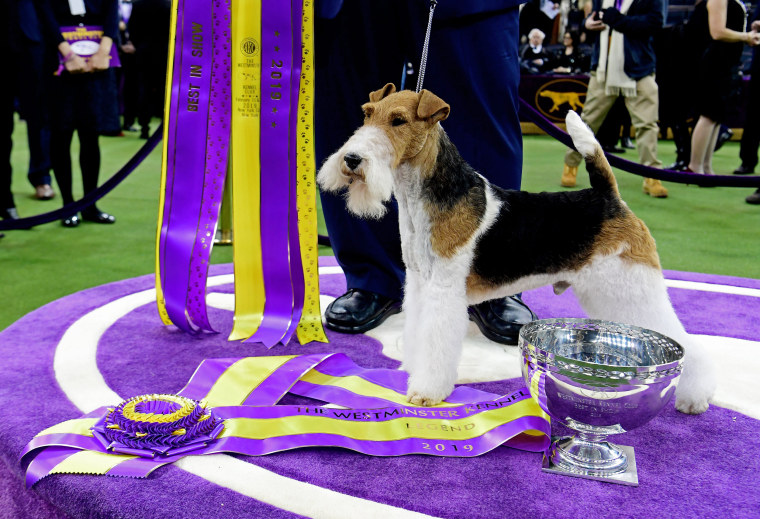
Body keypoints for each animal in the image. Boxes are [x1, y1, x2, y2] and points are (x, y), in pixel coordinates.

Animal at [318, 86, 716, 418]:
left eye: (398, 120)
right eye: (368, 113)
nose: (351, 159)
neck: (424, 199)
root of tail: (610, 197)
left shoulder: (444, 290)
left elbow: (436, 342)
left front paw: (427, 392)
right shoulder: (419, 284)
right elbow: (418, 332)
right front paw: (413, 371)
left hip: (632, 287)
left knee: (688, 343)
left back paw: (693, 398)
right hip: (605, 290)